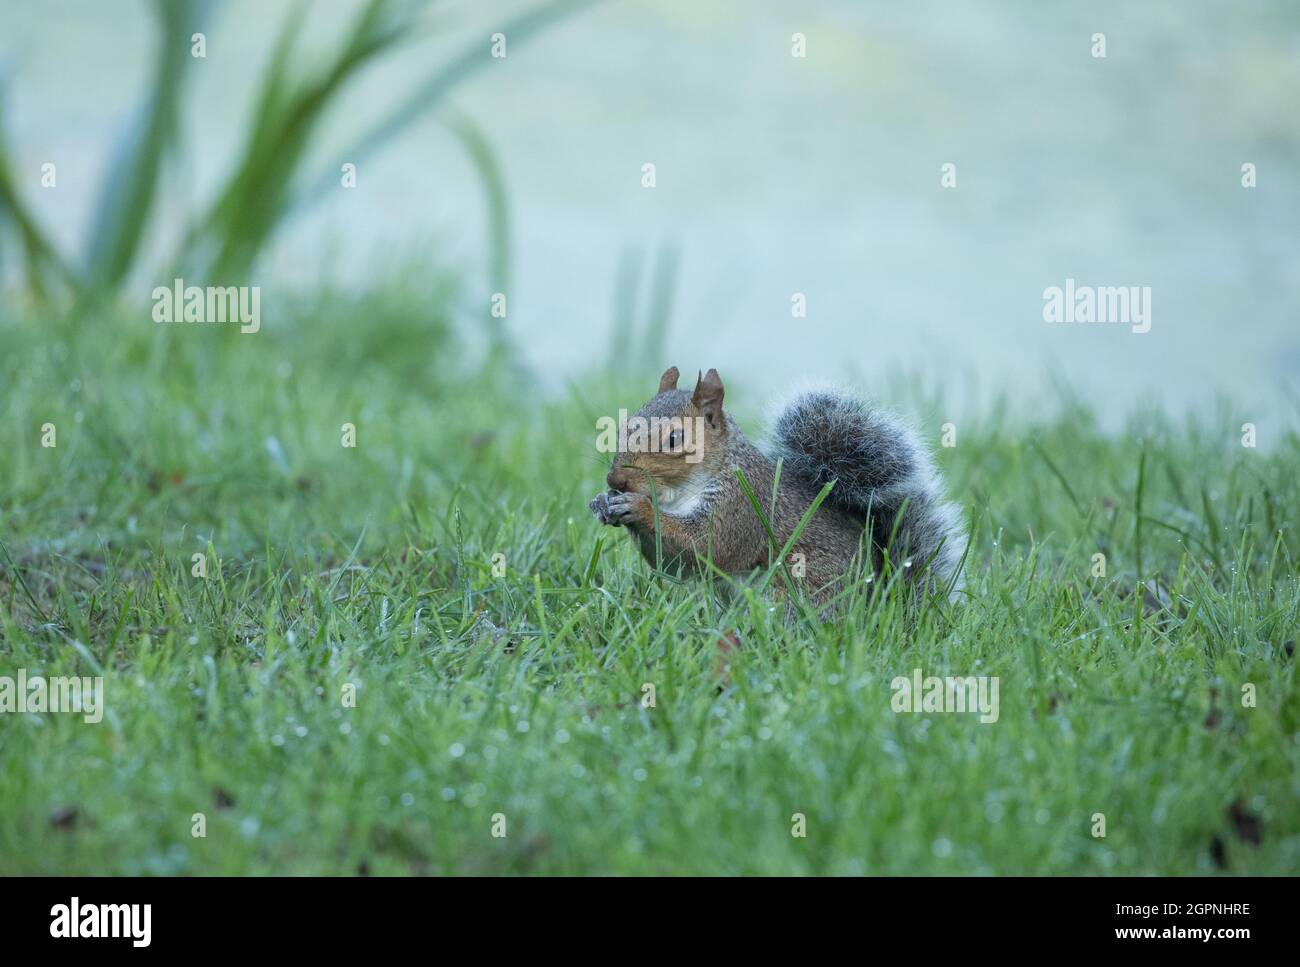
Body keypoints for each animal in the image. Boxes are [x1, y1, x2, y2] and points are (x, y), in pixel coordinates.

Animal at [590, 366, 967, 600]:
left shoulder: (741, 505)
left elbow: (707, 546)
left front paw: (638, 507)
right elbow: (672, 563)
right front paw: (603, 503)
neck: (680, 494)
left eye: (673, 439)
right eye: (624, 426)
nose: (616, 478)